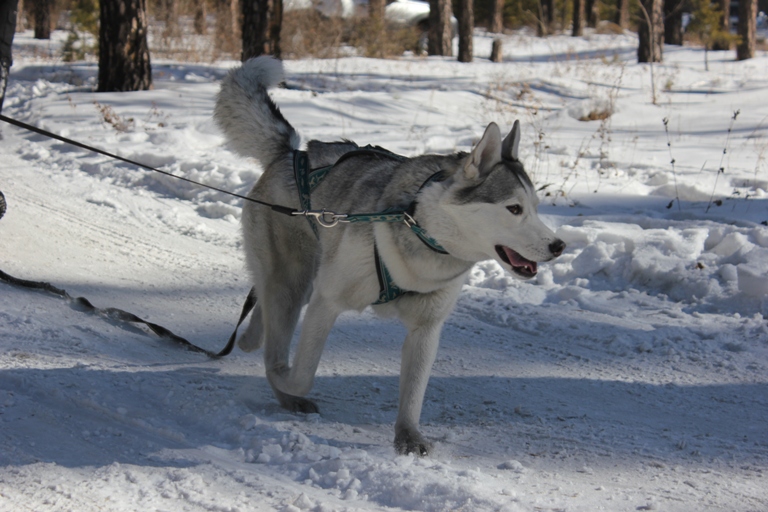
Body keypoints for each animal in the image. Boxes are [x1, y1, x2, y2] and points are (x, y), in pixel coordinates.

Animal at [216, 57, 564, 456]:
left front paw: (407, 437)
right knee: (275, 319)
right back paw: (273, 371)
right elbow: (300, 374)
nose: (559, 246)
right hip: (295, 280)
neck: (422, 230)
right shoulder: (326, 303)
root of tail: (292, 152)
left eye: (535, 207)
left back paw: (251, 337)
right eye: (514, 208)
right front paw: (283, 379)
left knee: (267, 307)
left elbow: (413, 394)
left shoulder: (426, 328)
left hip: (301, 284)